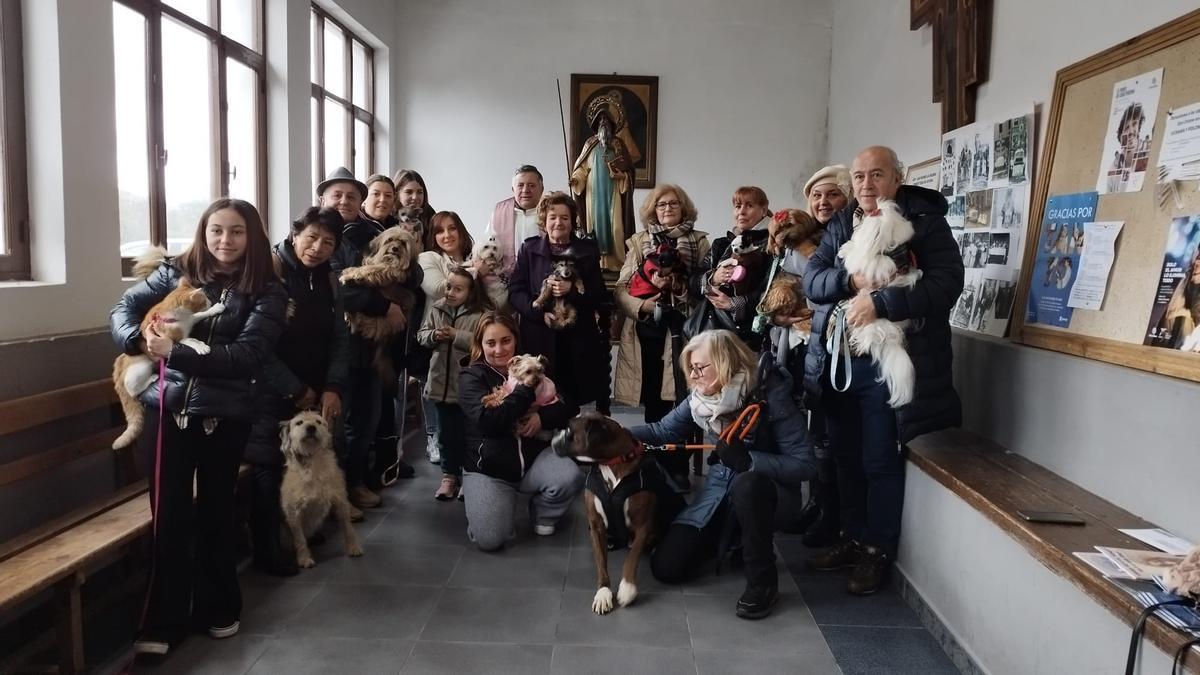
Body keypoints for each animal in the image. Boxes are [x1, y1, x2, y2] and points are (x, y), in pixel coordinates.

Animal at [278, 408, 362, 564]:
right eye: (299, 422)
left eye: (318, 421)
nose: (311, 427)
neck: (312, 464)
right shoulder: (293, 514)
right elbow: (300, 539)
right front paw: (304, 558)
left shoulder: (340, 501)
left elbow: (348, 528)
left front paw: (353, 547)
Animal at [552, 410, 686, 610]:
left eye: (569, 429)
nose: (554, 434)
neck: (611, 463)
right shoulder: (596, 526)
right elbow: (601, 562)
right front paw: (603, 592)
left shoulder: (642, 527)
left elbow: (632, 558)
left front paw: (627, 588)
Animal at [840, 194, 921, 403]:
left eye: (867, 221)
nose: (869, 213)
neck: (892, 249)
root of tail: (891, 337)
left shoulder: (867, 262)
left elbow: (855, 257)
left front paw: (846, 249)